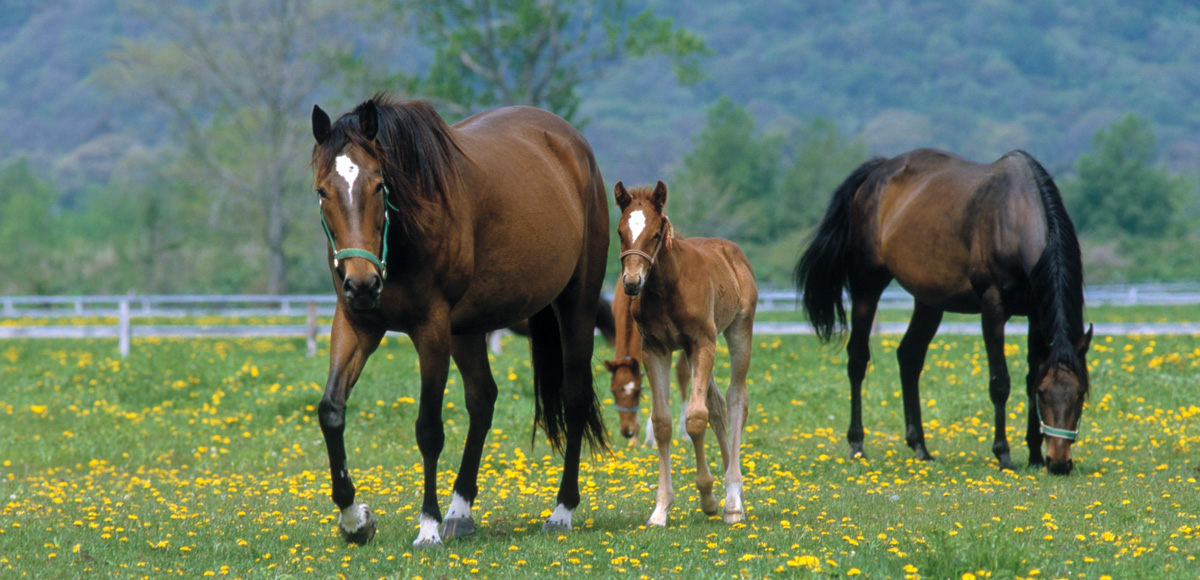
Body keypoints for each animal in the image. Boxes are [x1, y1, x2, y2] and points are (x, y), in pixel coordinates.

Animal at [309, 95, 609, 547]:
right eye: (322, 191)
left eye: (379, 185)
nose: (362, 283)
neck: (403, 236)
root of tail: (572, 144)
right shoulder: (356, 324)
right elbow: (331, 411)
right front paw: (354, 519)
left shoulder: (431, 330)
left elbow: (429, 429)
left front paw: (428, 526)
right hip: (468, 328)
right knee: (482, 399)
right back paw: (460, 509)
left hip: (577, 305)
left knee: (573, 400)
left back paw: (561, 511)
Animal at [614, 180, 758, 526]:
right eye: (621, 232)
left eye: (655, 233)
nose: (632, 282)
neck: (667, 287)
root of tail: (733, 252)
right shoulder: (655, 348)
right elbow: (663, 422)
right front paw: (661, 509)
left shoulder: (702, 342)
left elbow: (694, 419)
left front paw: (708, 497)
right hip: (695, 352)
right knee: (717, 405)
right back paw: (732, 491)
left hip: (737, 331)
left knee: (736, 400)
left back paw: (733, 500)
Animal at [794, 148, 1092, 475]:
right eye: (1044, 394)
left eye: (1080, 394)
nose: (1059, 463)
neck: (1015, 213)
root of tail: (877, 171)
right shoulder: (992, 308)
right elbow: (1000, 382)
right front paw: (1003, 455)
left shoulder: (1037, 312)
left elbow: (1031, 373)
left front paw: (1035, 455)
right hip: (866, 285)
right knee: (858, 358)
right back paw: (857, 444)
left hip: (929, 301)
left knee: (909, 357)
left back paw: (920, 447)